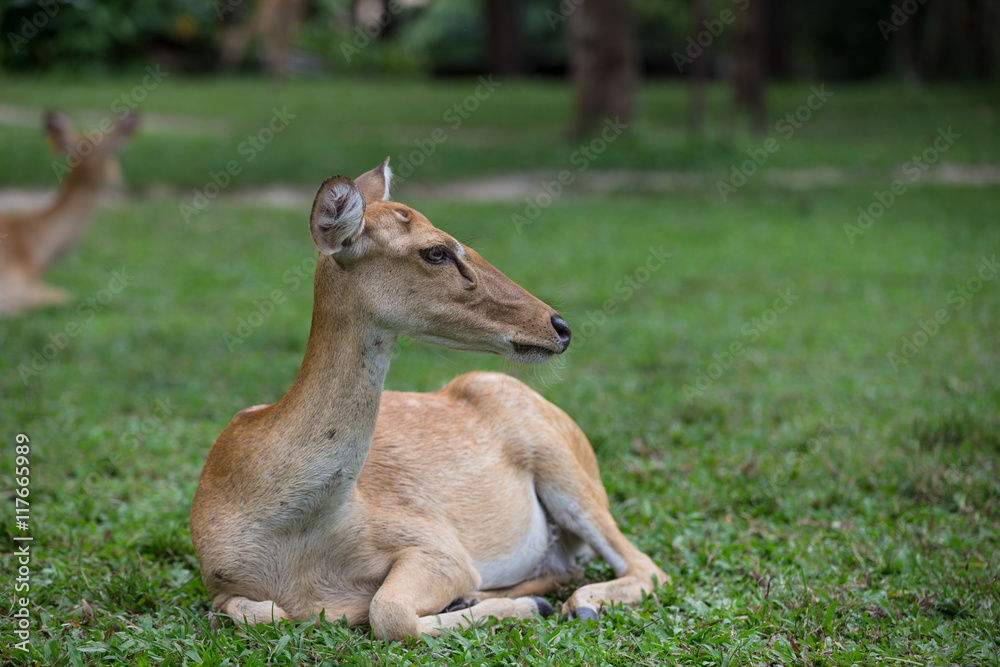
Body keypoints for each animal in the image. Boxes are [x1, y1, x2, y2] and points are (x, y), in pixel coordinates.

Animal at [189, 158, 668, 641]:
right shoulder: (220, 583)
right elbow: (263, 614)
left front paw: (526, 608)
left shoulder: (436, 544)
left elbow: (389, 612)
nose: (560, 326)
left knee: (647, 567)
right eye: (436, 251)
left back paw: (573, 604)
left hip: (567, 471)